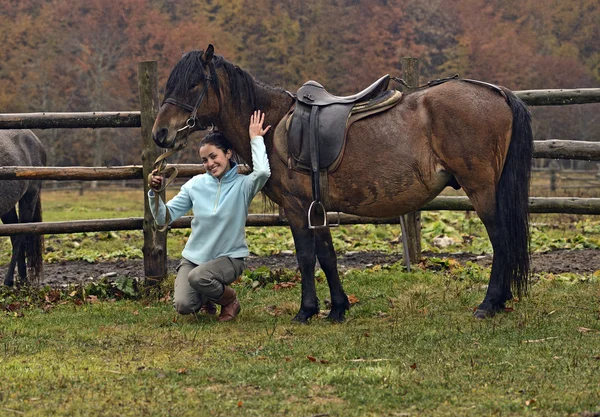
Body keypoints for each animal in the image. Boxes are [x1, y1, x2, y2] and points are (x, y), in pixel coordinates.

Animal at [152, 44, 532, 320]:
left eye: (194, 83)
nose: (160, 133)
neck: (273, 124)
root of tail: (497, 92)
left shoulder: (298, 208)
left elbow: (307, 257)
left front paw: (306, 311)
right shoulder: (316, 208)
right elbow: (328, 256)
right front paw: (337, 307)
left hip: (481, 190)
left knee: (500, 241)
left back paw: (489, 304)